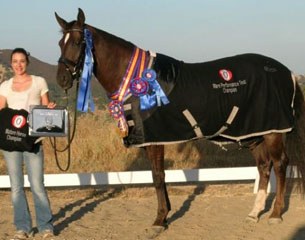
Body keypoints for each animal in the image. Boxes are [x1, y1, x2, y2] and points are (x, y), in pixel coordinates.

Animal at [54, 8, 304, 233]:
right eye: (59, 43)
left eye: (78, 42)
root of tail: (288, 73)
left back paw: (275, 214)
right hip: (254, 132)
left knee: (280, 164)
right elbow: (160, 176)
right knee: (263, 166)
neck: (136, 79)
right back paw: (254, 213)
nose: (62, 79)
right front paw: (164, 216)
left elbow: (157, 176)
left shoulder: (155, 140)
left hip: (273, 132)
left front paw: (159, 220)